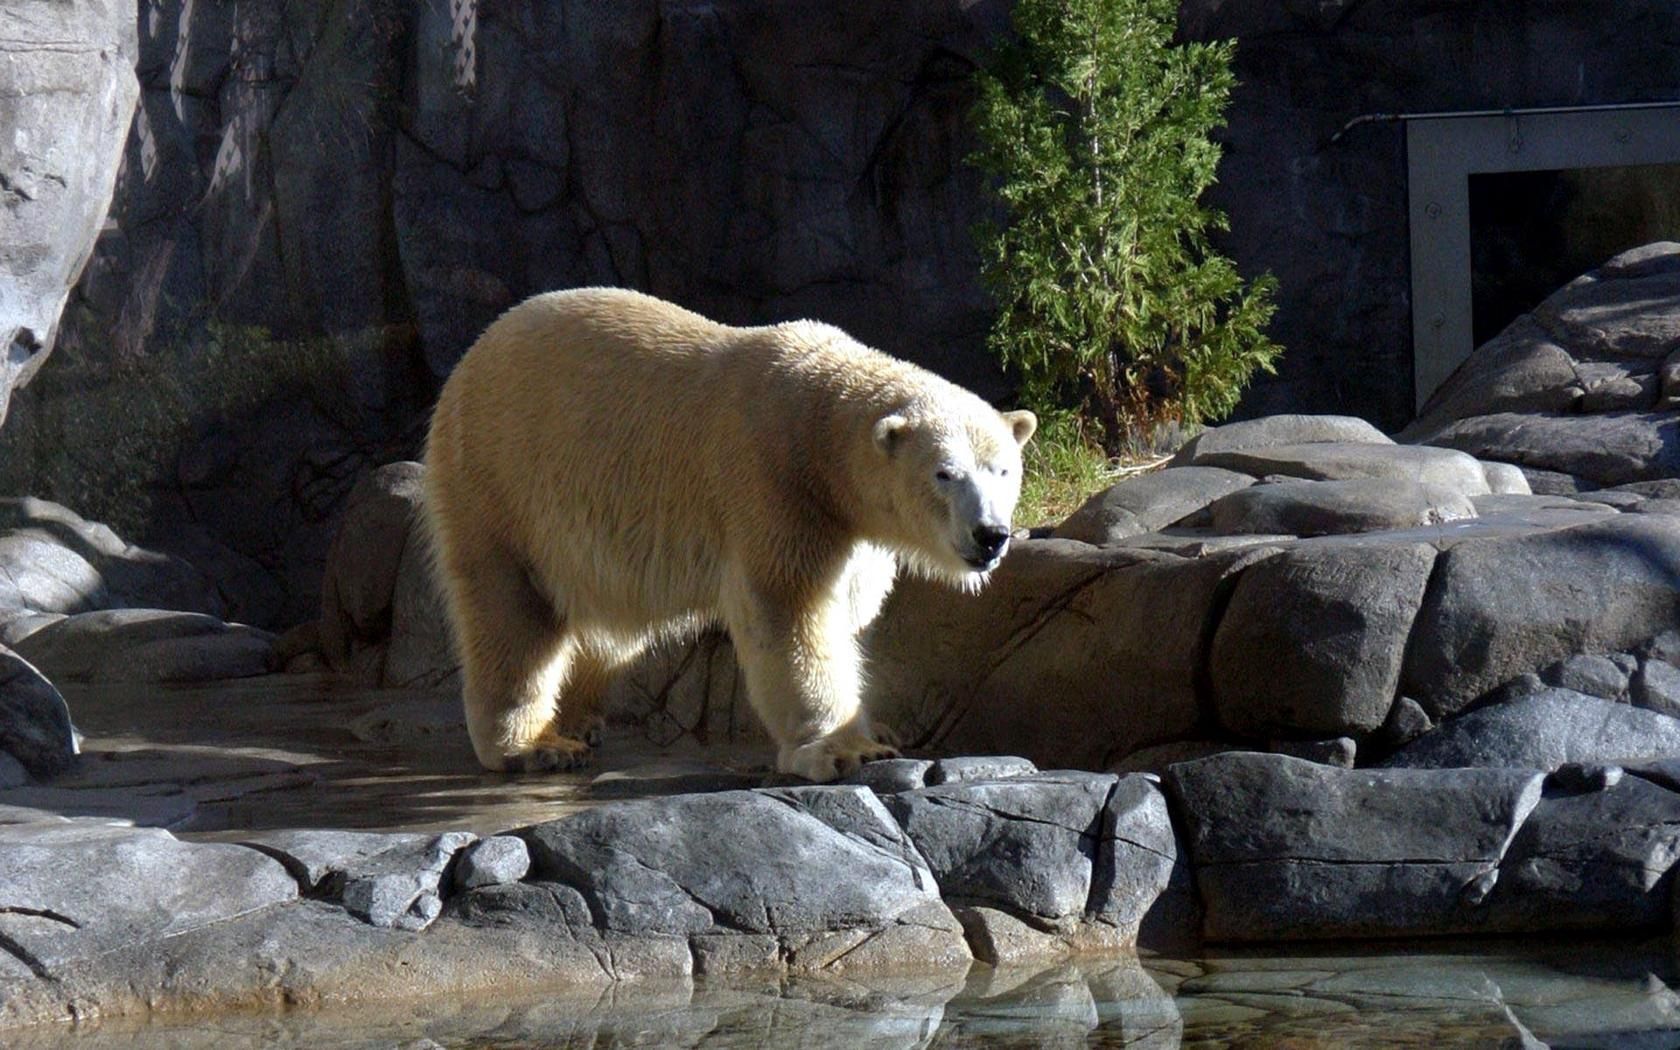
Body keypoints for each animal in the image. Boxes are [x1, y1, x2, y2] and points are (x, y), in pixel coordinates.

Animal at [423, 287, 1034, 779]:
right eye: (945, 474)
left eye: (1003, 470)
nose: (991, 535)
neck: (817, 425)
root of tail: (468, 362)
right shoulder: (773, 484)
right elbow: (789, 612)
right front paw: (845, 750)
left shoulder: (852, 527)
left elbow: (851, 608)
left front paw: (874, 729)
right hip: (500, 480)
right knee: (512, 613)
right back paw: (535, 745)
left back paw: (580, 720)